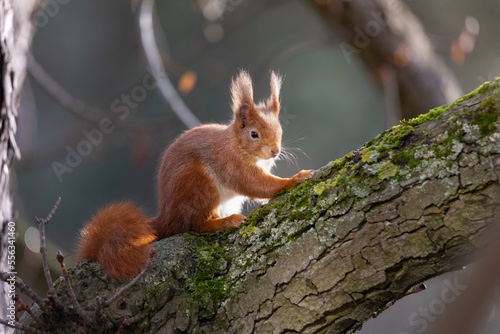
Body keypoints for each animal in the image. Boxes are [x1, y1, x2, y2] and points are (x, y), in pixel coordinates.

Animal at [76, 71, 312, 282]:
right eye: (254, 134)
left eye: (280, 130)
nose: (275, 151)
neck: (237, 144)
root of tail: (167, 218)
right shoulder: (231, 163)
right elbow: (255, 183)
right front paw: (294, 179)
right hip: (199, 185)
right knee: (194, 225)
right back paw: (225, 222)